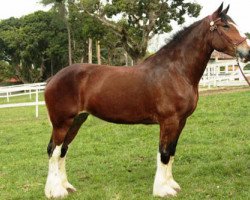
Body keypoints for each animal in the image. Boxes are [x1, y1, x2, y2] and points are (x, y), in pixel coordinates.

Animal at [44, 3, 250, 199]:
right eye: (225, 26)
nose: (246, 52)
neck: (176, 71)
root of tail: (52, 79)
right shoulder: (169, 121)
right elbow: (164, 154)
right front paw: (162, 190)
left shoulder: (181, 121)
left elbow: (172, 151)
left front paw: (172, 184)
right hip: (62, 123)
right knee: (54, 151)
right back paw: (56, 192)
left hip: (77, 120)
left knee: (63, 151)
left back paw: (65, 187)